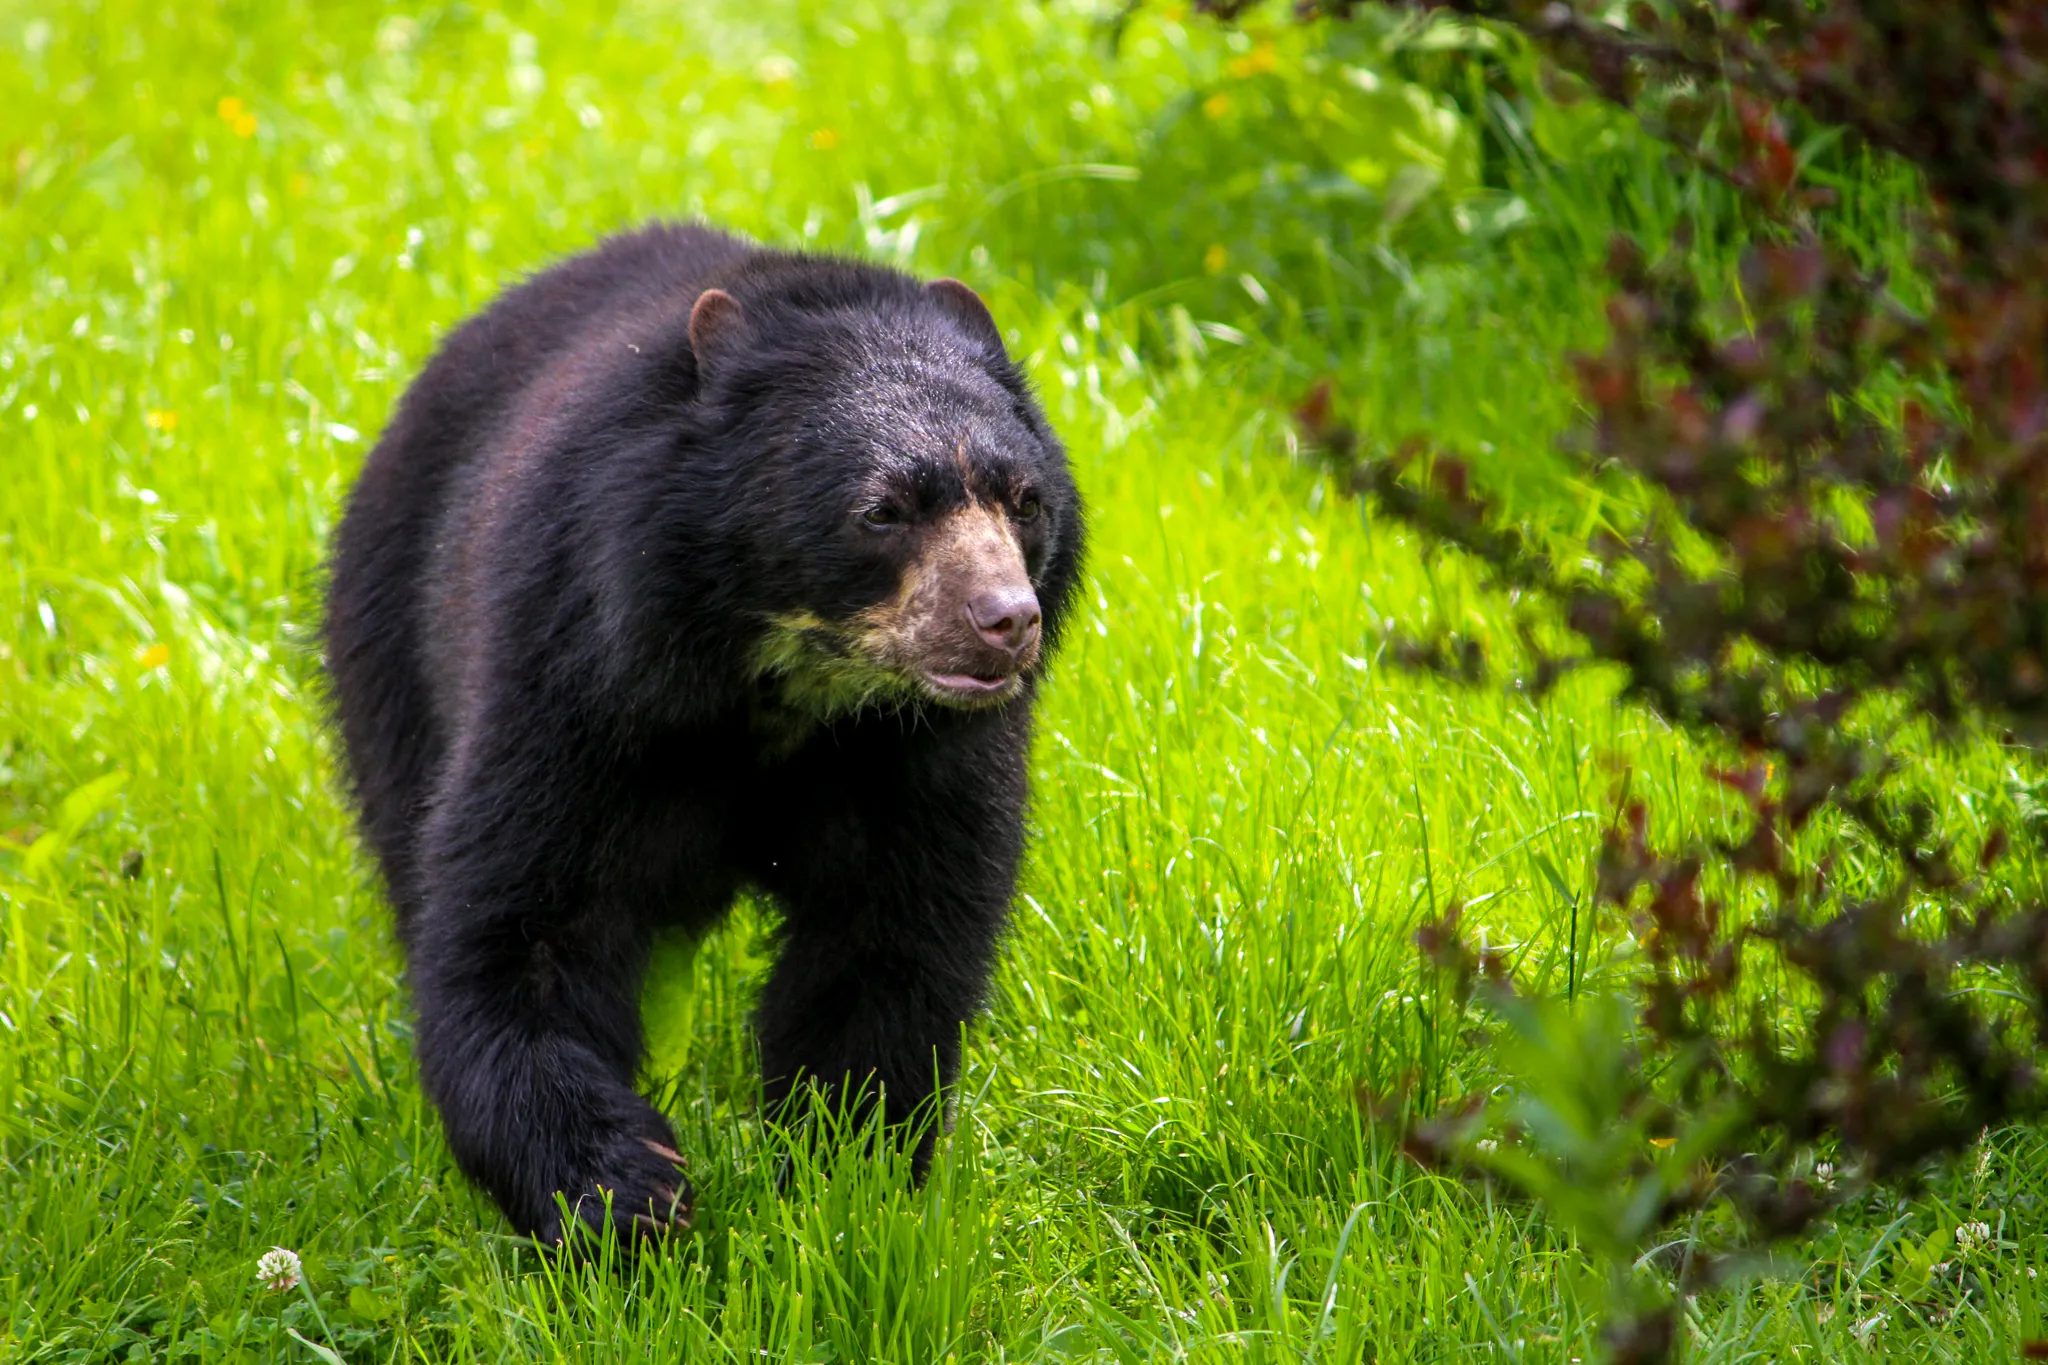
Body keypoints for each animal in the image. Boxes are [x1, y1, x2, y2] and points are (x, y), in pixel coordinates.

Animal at [321, 222, 1083, 1244]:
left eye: (1024, 499)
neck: (790, 683)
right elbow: (524, 928)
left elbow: (890, 946)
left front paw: (844, 1176)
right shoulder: (579, 674)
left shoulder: (926, 754)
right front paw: (626, 1194)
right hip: (393, 649)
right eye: (881, 510)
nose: (1006, 620)